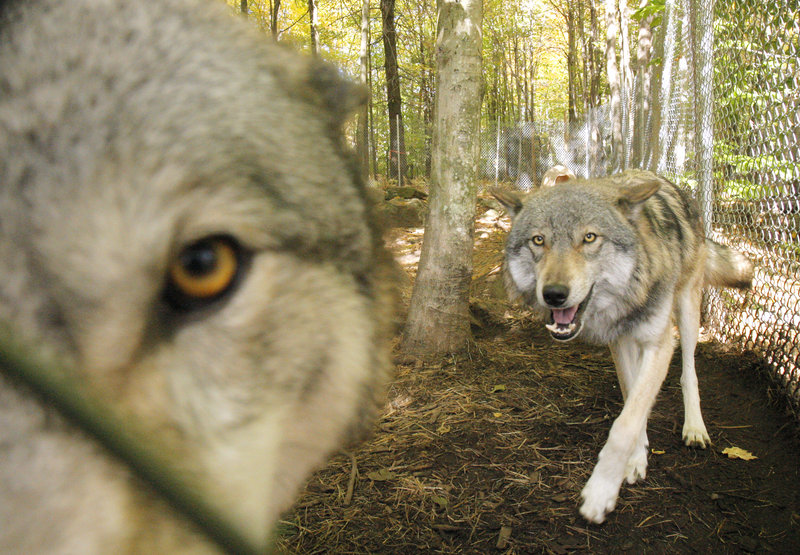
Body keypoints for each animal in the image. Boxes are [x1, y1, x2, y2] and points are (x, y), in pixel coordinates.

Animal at [492, 170, 753, 524]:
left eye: (589, 238)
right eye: (538, 240)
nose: (554, 294)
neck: (631, 294)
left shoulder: (659, 343)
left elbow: (625, 424)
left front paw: (600, 493)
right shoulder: (619, 341)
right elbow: (633, 400)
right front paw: (636, 458)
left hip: (686, 310)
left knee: (689, 371)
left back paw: (695, 427)